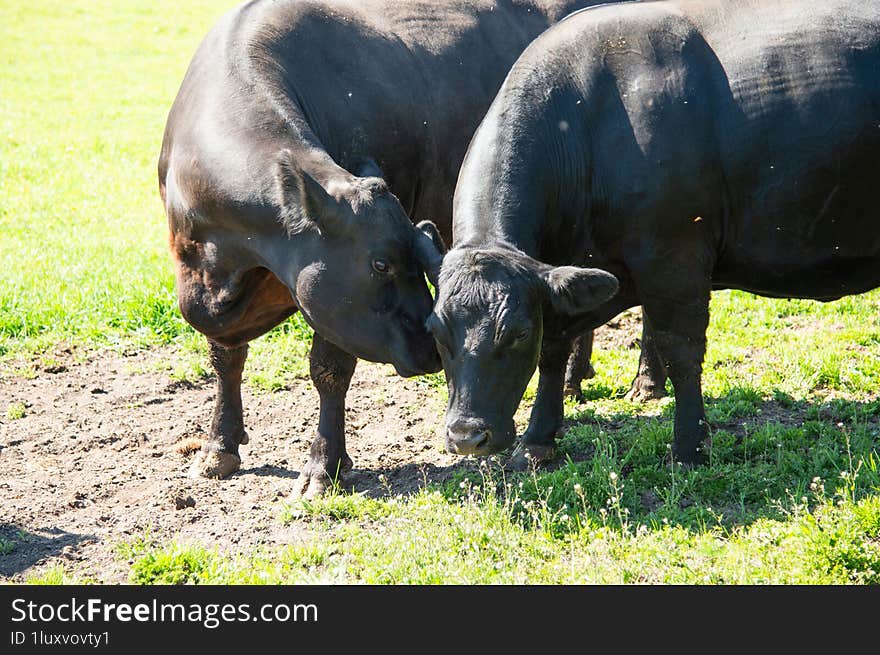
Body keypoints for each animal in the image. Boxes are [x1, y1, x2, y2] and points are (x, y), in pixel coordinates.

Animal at [160, 0, 612, 498]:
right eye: (381, 263)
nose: (432, 348)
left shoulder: (334, 311)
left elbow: (328, 369)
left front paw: (324, 465)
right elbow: (225, 358)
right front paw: (218, 446)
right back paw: (574, 377)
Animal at [428, 2, 880, 468]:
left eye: (516, 333)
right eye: (435, 331)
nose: (467, 436)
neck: (587, 126)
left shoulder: (674, 261)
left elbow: (680, 351)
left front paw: (689, 447)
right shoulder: (562, 279)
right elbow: (553, 349)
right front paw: (537, 440)